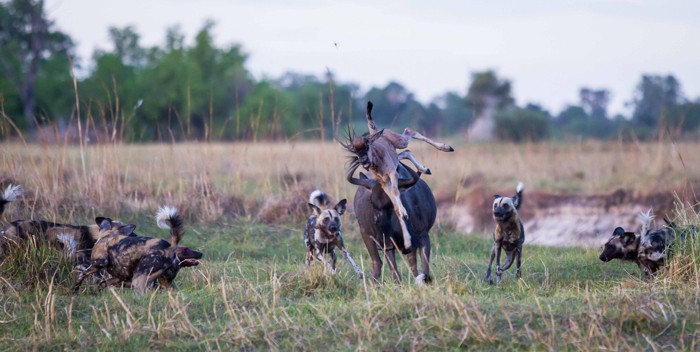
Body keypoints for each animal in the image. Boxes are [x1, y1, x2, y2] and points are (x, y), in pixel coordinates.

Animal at [340, 100, 452, 252]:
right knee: (406, 152)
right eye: (355, 150)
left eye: (367, 146)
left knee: (409, 132)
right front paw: (406, 235)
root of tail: (377, 133)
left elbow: (395, 192)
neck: (376, 164)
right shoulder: (383, 183)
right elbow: (395, 204)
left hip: (400, 142)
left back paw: (446, 147)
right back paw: (425, 169)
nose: (363, 162)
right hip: (396, 156)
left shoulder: (393, 174)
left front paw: (404, 212)